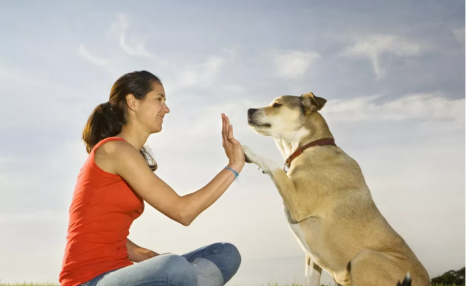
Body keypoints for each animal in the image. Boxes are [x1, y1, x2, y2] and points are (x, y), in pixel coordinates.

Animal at [242, 92, 432, 286]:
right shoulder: (311, 258)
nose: (249, 110)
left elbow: (272, 164)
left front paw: (247, 151)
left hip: (363, 258)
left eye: (277, 104)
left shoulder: (298, 202)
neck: (309, 146)